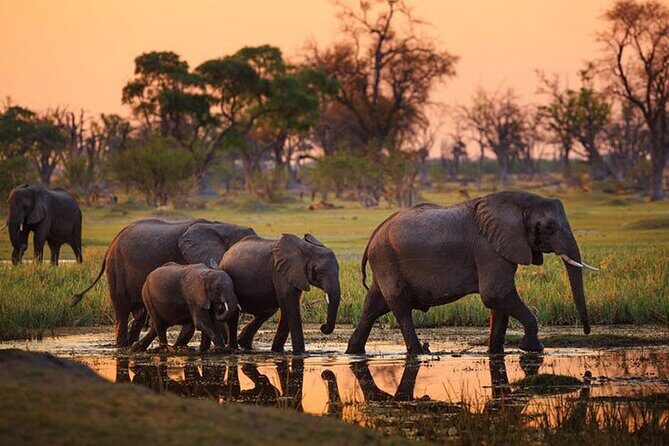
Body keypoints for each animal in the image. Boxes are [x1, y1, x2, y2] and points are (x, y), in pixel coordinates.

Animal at [71, 218, 256, 347]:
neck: (222, 226)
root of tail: (111, 243)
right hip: (117, 267)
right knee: (122, 309)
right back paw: (122, 346)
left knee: (140, 314)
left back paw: (133, 344)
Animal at [346, 191, 596, 355]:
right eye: (548, 228)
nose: (586, 332)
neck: (518, 203)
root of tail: (375, 232)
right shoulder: (488, 248)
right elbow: (495, 294)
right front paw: (532, 349)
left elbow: (499, 303)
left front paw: (495, 352)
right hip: (386, 258)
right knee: (400, 307)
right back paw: (419, 353)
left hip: (384, 262)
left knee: (373, 305)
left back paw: (353, 352)